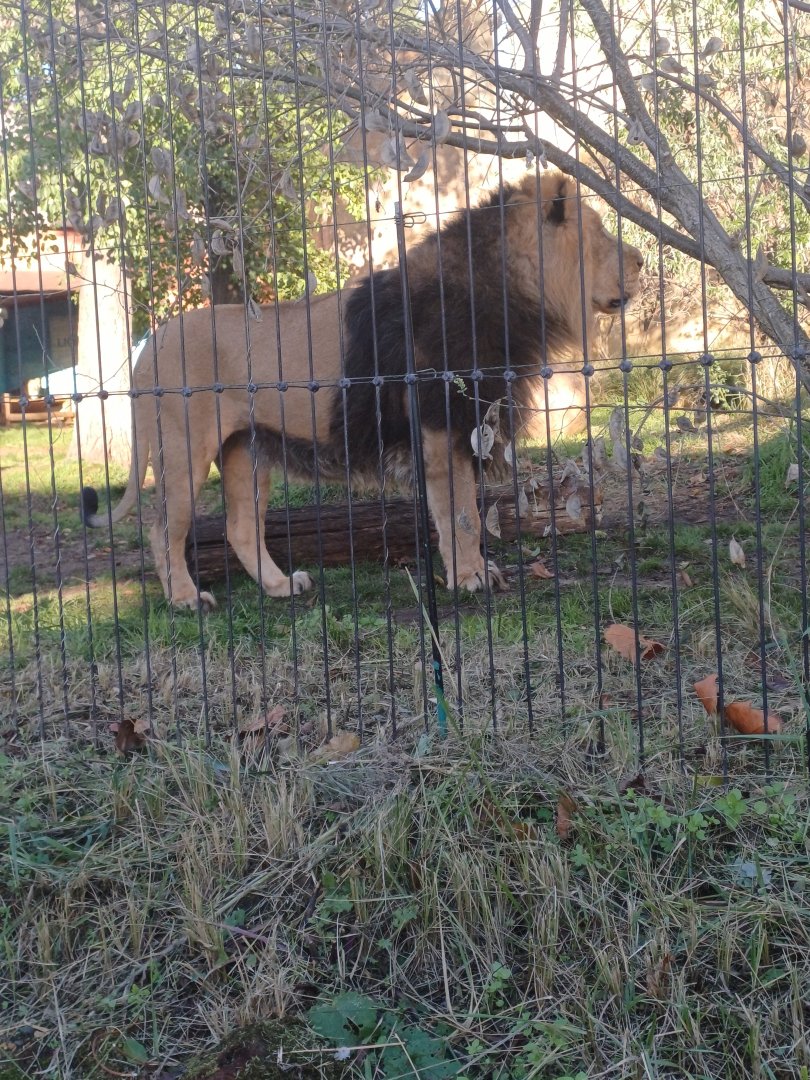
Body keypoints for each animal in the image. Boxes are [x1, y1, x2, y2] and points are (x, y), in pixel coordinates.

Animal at [82, 171, 643, 610]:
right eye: (601, 234)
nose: (640, 260)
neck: (509, 292)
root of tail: (148, 343)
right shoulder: (442, 427)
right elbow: (460, 514)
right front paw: (471, 577)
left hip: (247, 449)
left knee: (241, 527)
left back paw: (281, 586)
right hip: (182, 452)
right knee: (163, 529)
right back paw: (184, 599)